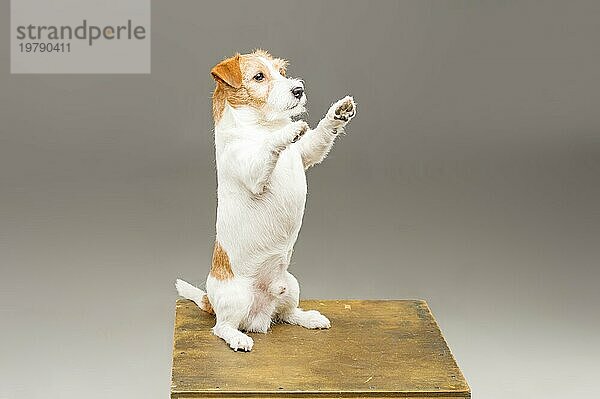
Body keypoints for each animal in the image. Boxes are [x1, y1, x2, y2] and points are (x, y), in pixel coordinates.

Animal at [177, 50, 356, 354]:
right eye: (259, 77)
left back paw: (308, 318)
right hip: (235, 299)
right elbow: (267, 149)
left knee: (286, 313)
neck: (261, 126)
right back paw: (238, 337)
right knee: (222, 327)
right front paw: (286, 132)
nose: (298, 89)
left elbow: (318, 137)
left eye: (281, 72)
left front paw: (337, 113)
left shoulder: (306, 154)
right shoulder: (251, 170)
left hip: (291, 285)